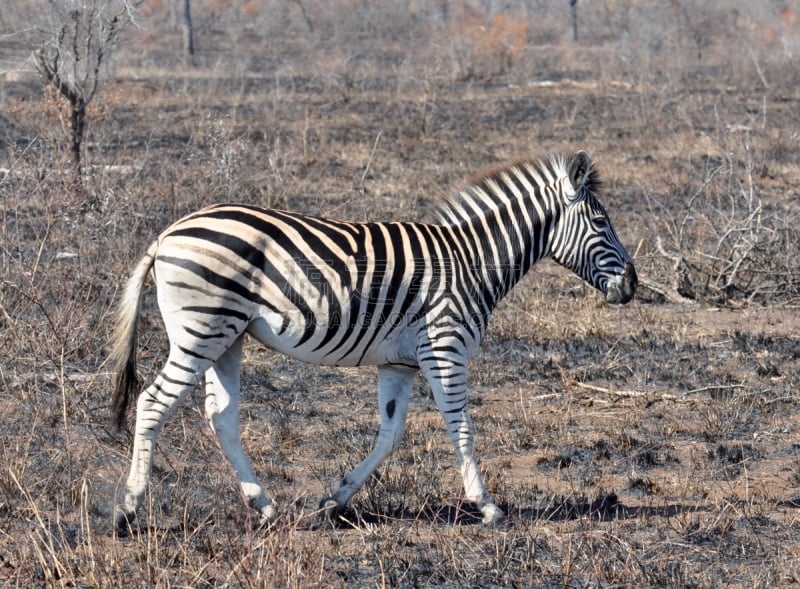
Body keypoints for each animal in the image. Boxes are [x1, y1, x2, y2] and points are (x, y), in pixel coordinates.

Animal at [111, 149, 636, 532]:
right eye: (601, 224)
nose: (632, 285)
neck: (471, 262)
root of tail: (167, 234)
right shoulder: (445, 347)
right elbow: (462, 428)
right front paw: (487, 507)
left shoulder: (399, 363)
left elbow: (391, 433)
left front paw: (335, 499)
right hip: (202, 329)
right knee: (153, 402)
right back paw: (128, 510)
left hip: (228, 336)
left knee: (221, 416)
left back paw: (264, 506)